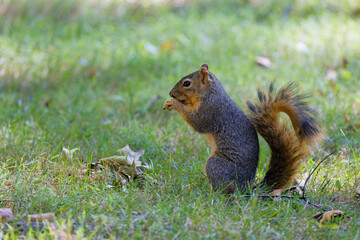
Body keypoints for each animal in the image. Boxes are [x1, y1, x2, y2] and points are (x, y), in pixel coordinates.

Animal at [164, 63, 324, 193]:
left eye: (187, 83)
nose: (171, 93)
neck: (210, 93)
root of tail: (245, 187)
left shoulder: (211, 109)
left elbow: (198, 123)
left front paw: (174, 103)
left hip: (217, 165)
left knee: (225, 189)